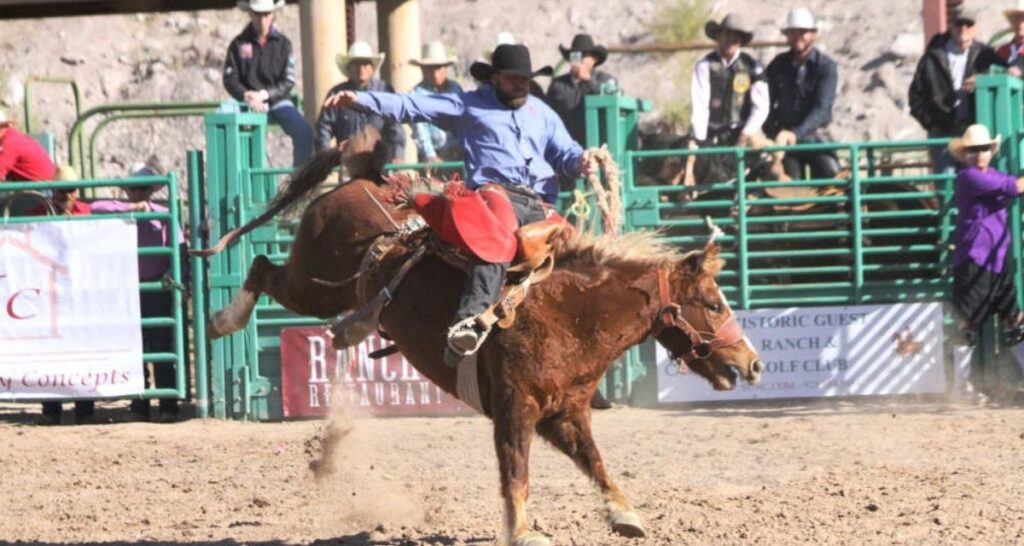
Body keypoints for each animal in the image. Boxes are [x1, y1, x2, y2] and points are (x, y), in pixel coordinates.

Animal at [195, 128, 765, 544]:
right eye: (715, 304)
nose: (754, 363)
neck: (571, 314)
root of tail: (362, 181)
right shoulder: (515, 408)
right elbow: (516, 472)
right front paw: (523, 533)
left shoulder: (566, 414)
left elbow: (594, 461)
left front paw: (625, 514)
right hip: (313, 285)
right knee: (262, 268)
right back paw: (223, 320)